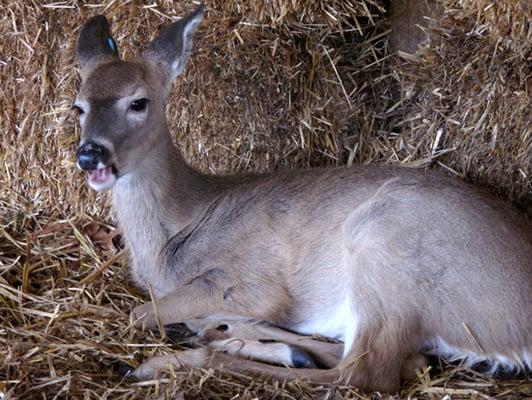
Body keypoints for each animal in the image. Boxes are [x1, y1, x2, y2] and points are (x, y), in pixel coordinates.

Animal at [74, 6, 532, 394]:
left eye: (138, 101)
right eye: (77, 106)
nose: (89, 153)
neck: (177, 228)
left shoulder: (249, 283)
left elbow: (139, 313)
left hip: (385, 247)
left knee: (366, 372)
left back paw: (167, 361)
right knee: (399, 360)